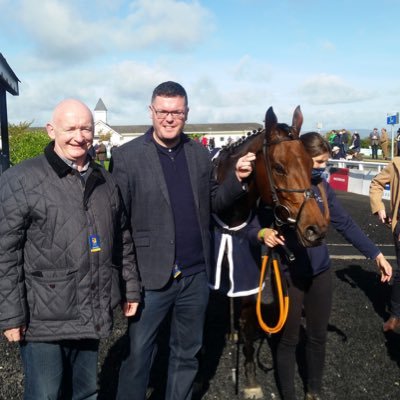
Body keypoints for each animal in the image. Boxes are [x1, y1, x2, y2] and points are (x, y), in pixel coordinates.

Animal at [211, 105, 330, 396]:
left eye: (310, 165)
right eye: (278, 167)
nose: (316, 229)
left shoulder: (248, 274)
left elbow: (248, 320)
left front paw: (250, 380)